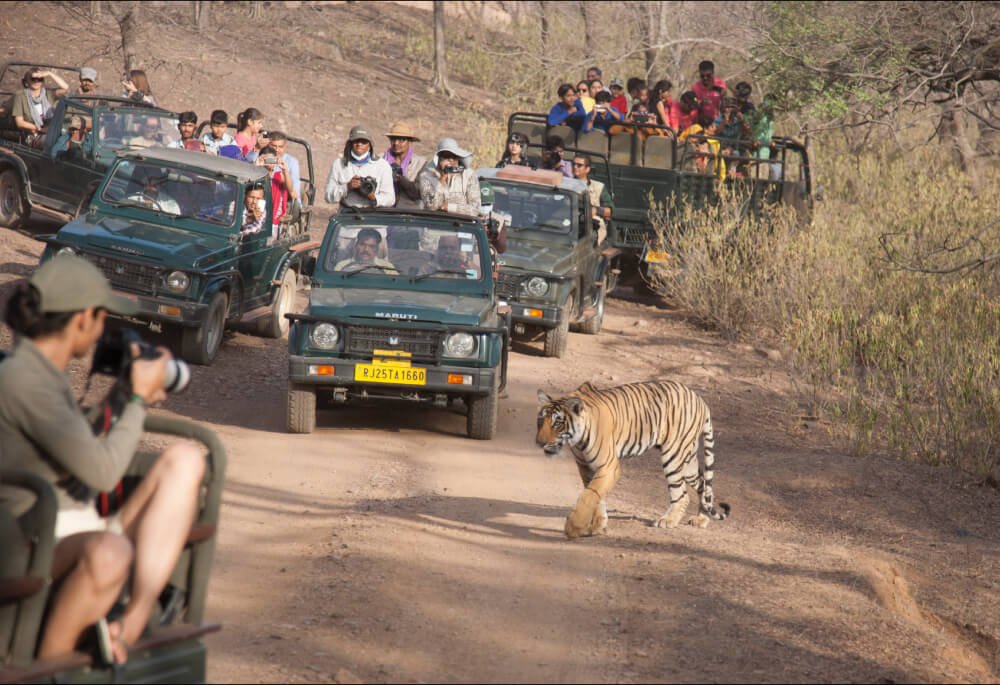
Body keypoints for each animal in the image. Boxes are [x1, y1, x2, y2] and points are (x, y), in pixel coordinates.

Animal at [536, 380, 730, 538]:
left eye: (557, 423)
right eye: (540, 420)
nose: (539, 443)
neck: (577, 441)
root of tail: (700, 400)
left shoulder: (608, 466)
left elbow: (589, 495)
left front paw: (573, 528)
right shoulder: (585, 467)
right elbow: (596, 496)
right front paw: (598, 526)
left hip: (674, 456)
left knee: (682, 494)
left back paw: (668, 520)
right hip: (687, 460)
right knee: (703, 483)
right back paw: (701, 519)